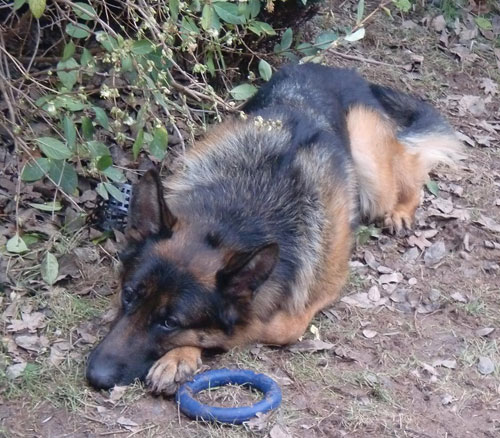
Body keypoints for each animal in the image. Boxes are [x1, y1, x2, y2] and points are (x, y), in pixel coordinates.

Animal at [85, 62, 460, 394]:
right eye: (129, 295)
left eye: (170, 322)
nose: (94, 376)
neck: (237, 213)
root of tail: (335, 69)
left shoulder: (313, 297)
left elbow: (258, 327)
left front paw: (183, 353)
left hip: (372, 170)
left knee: (411, 168)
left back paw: (402, 210)